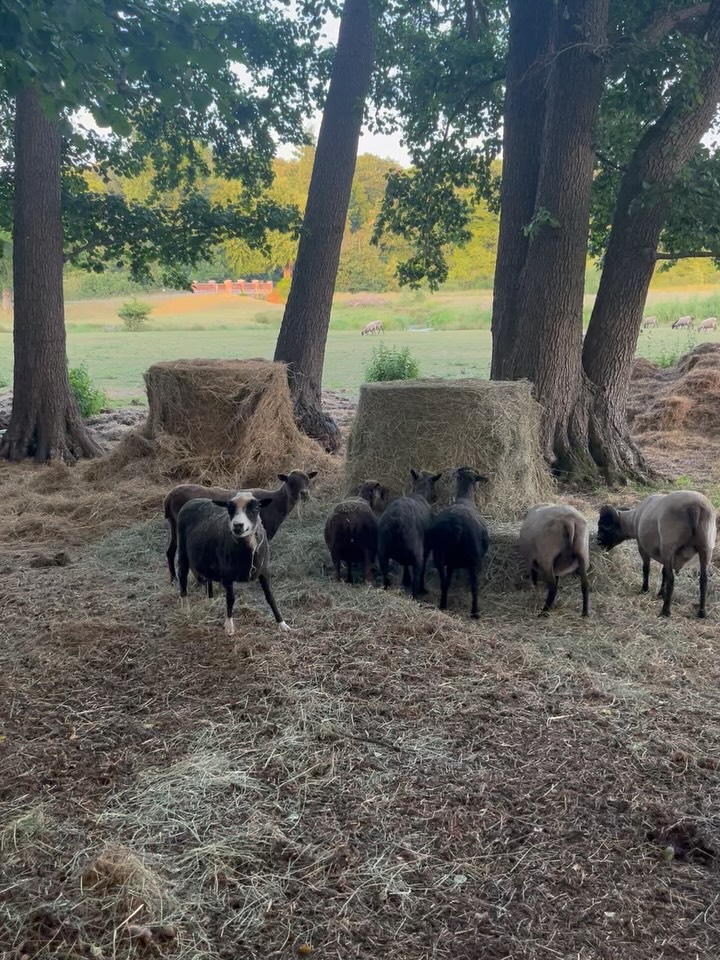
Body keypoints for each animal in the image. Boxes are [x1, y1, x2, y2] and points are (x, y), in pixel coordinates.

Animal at [164, 469, 317, 582]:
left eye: (307, 480)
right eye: (290, 482)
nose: (304, 494)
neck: (277, 504)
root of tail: (169, 496)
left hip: (174, 523)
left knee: (171, 550)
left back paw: (174, 579)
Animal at [176, 492, 289, 635]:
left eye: (256, 507)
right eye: (229, 508)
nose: (237, 525)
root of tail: (192, 501)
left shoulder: (264, 571)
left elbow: (270, 597)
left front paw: (282, 623)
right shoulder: (227, 575)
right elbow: (230, 599)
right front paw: (229, 626)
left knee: (207, 578)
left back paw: (210, 601)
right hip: (183, 551)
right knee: (182, 576)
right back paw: (185, 608)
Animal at [377, 469, 441, 598]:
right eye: (434, 486)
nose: (436, 497)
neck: (421, 494)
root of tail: (395, 521)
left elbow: (405, 564)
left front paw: (405, 580)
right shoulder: (425, 550)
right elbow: (422, 570)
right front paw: (421, 588)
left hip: (382, 553)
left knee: (385, 575)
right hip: (417, 555)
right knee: (416, 579)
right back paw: (416, 595)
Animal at [426, 467, 489, 618]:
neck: (465, 499)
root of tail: (457, 526)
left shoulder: (451, 563)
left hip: (440, 556)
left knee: (445, 582)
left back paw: (443, 605)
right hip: (473, 559)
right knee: (473, 586)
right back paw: (474, 612)